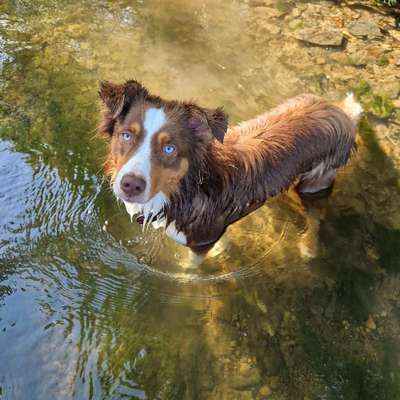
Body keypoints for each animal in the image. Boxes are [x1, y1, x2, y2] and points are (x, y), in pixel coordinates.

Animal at [97, 79, 362, 252]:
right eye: (126, 135)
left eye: (169, 148)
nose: (131, 185)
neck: (185, 190)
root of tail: (340, 111)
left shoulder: (204, 238)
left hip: (316, 181)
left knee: (316, 214)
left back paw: (308, 247)